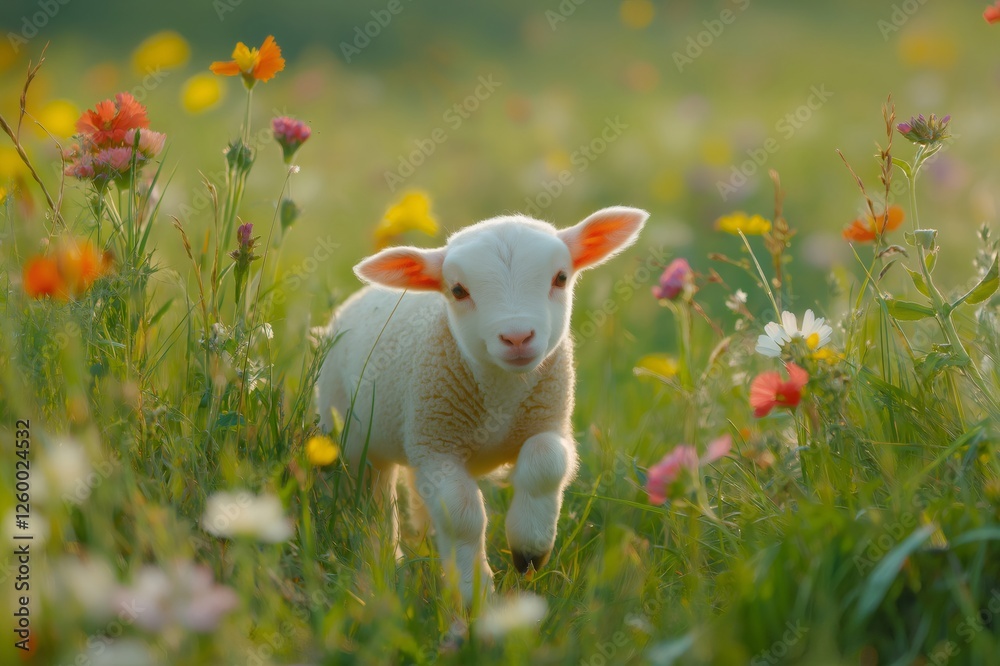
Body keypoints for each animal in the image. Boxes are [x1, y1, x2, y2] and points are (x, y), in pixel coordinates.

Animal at [315, 206, 649, 605]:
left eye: (561, 277)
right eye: (458, 290)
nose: (517, 337)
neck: (502, 397)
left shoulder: (549, 422)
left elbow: (546, 463)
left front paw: (529, 549)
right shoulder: (438, 448)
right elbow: (462, 516)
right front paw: (474, 593)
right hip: (356, 440)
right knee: (371, 503)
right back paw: (381, 564)